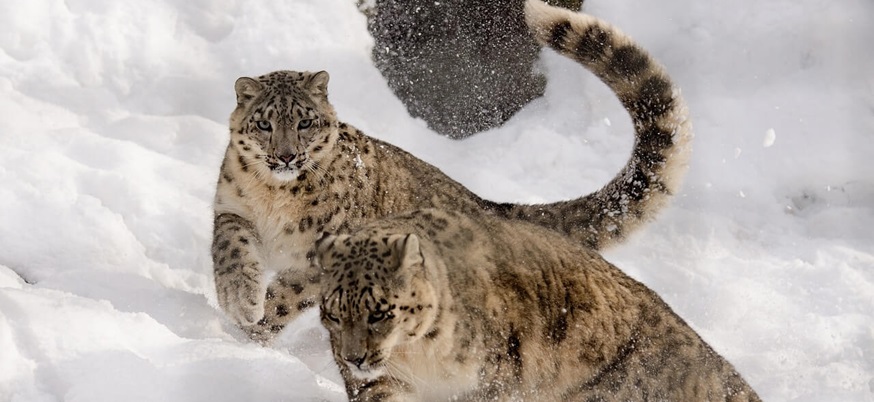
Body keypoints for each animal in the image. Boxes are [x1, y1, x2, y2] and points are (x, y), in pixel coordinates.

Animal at [209, 0, 688, 342]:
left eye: (304, 122)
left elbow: (287, 296)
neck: (275, 199)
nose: (286, 156)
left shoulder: (325, 252)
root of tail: (486, 204)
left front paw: (252, 328)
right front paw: (239, 301)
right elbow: (230, 251)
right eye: (265, 123)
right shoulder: (232, 208)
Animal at [316, 207, 760, 402]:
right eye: (333, 313)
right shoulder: (380, 384)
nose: (354, 358)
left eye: (380, 312)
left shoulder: (490, 383)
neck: (419, 357)